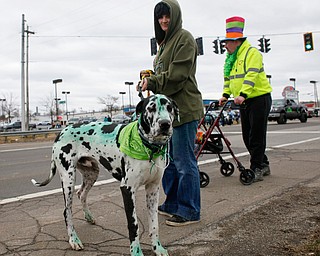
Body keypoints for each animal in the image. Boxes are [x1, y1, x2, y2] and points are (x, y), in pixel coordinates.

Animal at [31, 94, 179, 256]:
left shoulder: (153, 189)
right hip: (68, 178)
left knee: (81, 194)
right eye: (151, 108)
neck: (148, 147)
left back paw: (88, 217)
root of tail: (62, 130)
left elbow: (154, 224)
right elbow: (133, 225)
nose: (165, 124)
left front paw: (158, 248)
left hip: (91, 174)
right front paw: (136, 252)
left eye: (170, 108)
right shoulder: (127, 189)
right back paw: (74, 240)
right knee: (67, 211)